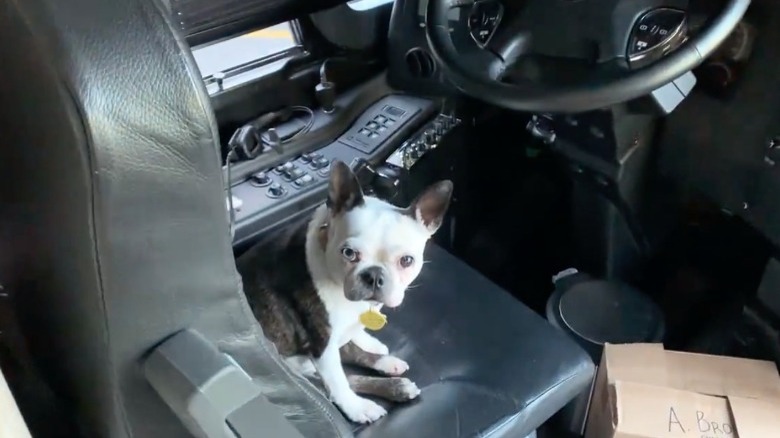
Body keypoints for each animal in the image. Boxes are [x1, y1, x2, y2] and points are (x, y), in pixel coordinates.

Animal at [238, 161, 454, 424]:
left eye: (407, 260)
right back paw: (386, 392)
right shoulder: (322, 342)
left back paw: (387, 365)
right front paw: (357, 407)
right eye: (349, 253)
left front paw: (368, 341)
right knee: (344, 380)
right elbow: (338, 381)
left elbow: (354, 339)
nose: (374, 275)